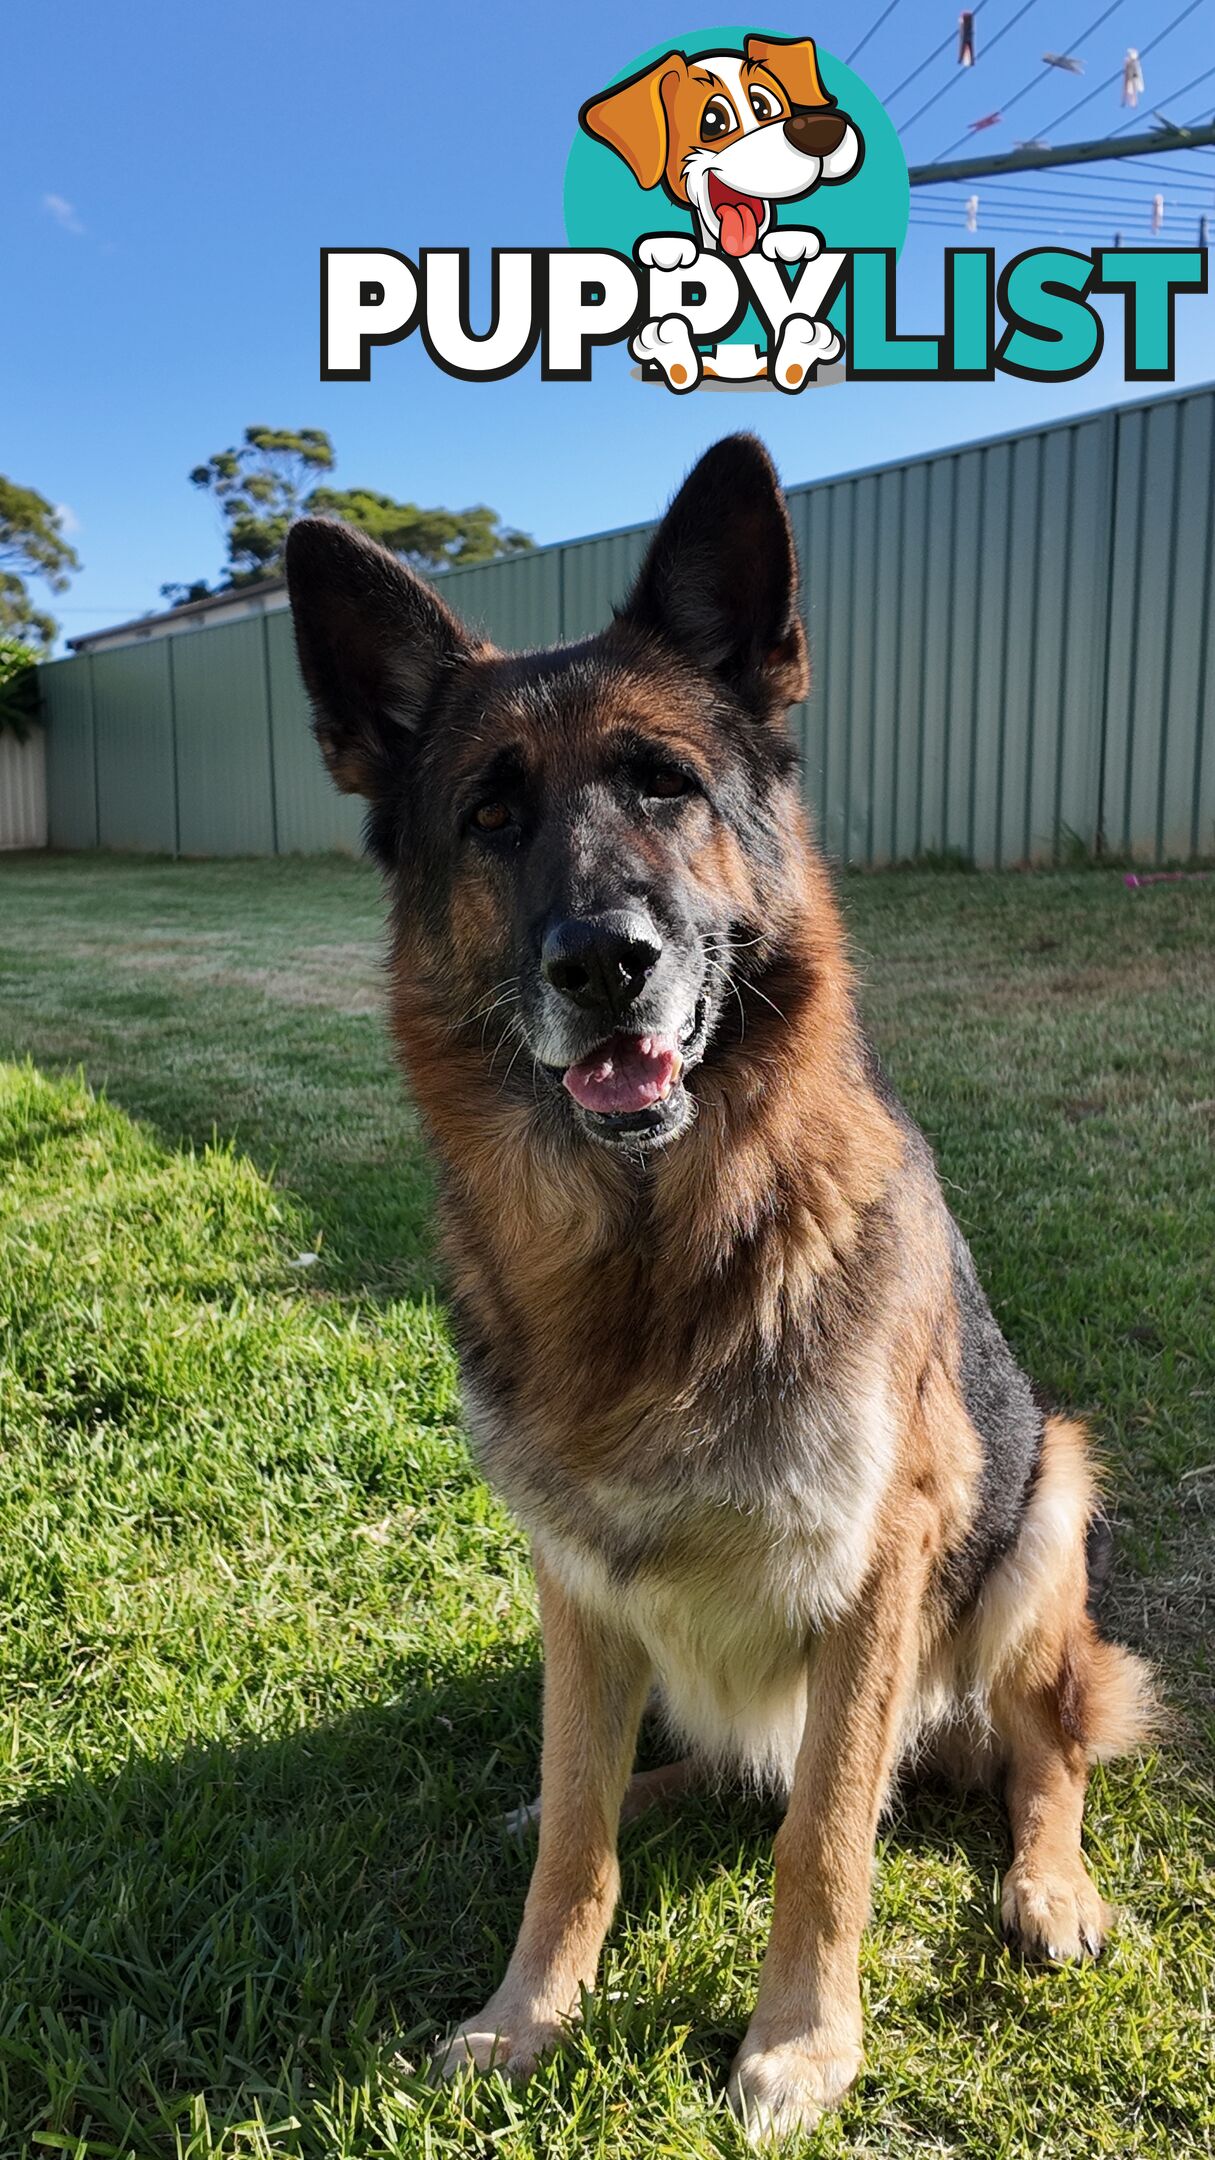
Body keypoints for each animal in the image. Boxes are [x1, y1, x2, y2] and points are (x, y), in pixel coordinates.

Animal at [287, 442, 1150, 2142]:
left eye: (663, 785)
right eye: (491, 814)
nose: (600, 962)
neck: (655, 1252)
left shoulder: (879, 1566)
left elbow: (822, 1840)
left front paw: (801, 2046)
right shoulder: (573, 1582)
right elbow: (580, 1837)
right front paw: (525, 2011)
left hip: (1044, 1517)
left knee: (1038, 1750)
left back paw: (1047, 1884)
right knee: (674, 1767)